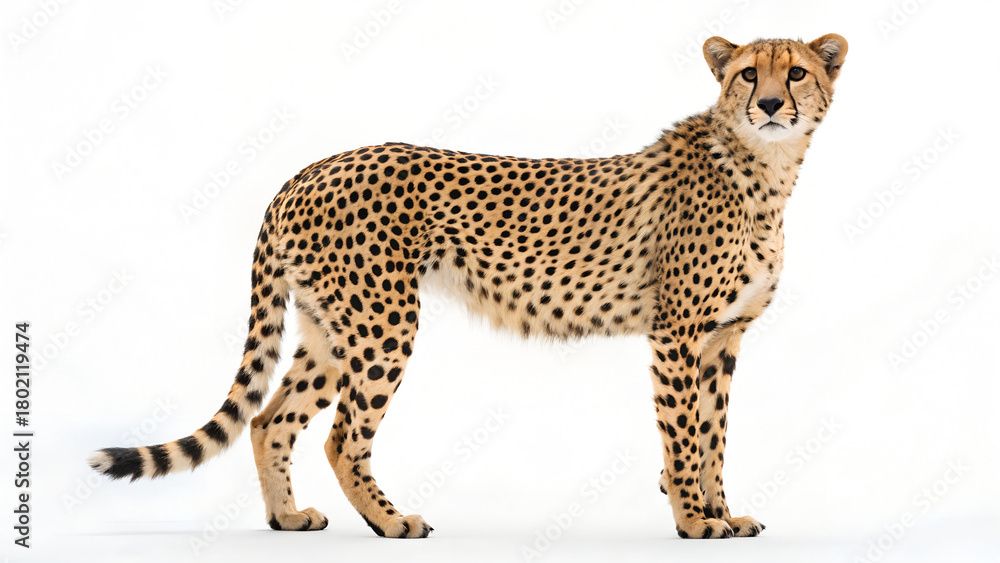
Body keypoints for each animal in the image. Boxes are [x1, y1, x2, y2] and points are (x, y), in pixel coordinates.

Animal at [90, 34, 847, 539]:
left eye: (796, 72)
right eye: (747, 73)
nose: (771, 103)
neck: (764, 168)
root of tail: (311, 167)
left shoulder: (723, 338)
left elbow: (715, 433)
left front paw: (723, 511)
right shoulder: (677, 335)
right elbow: (684, 434)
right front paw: (694, 519)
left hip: (328, 326)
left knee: (269, 418)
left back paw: (286, 516)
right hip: (382, 322)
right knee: (342, 438)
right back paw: (392, 521)